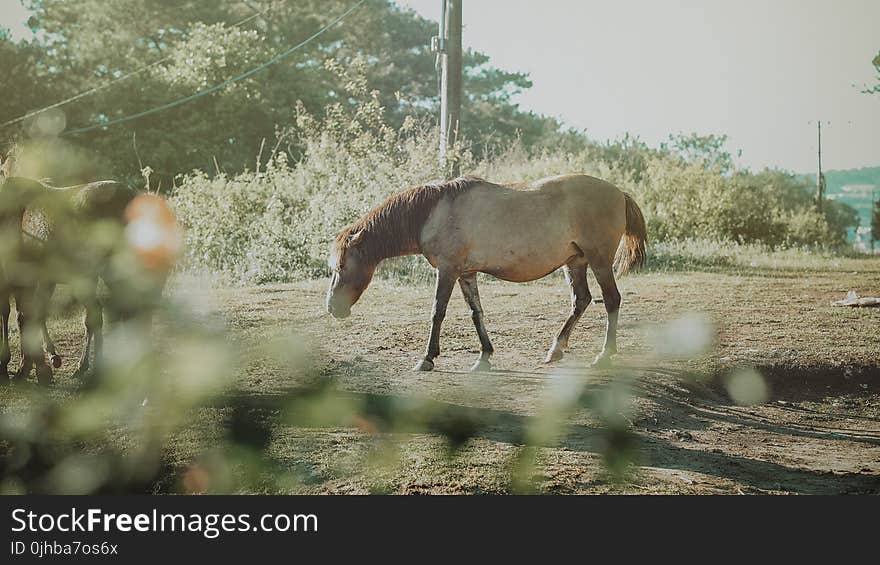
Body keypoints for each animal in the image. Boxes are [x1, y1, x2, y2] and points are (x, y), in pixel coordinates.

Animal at [326, 174, 648, 372]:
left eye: (341, 267)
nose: (331, 307)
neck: (434, 210)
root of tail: (619, 193)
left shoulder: (447, 269)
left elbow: (437, 312)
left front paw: (427, 358)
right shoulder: (466, 274)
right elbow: (476, 313)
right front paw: (484, 356)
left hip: (599, 260)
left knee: (611, 300)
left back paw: (605, 354)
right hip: (575, 262)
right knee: (581, 300)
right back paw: (555, 349)